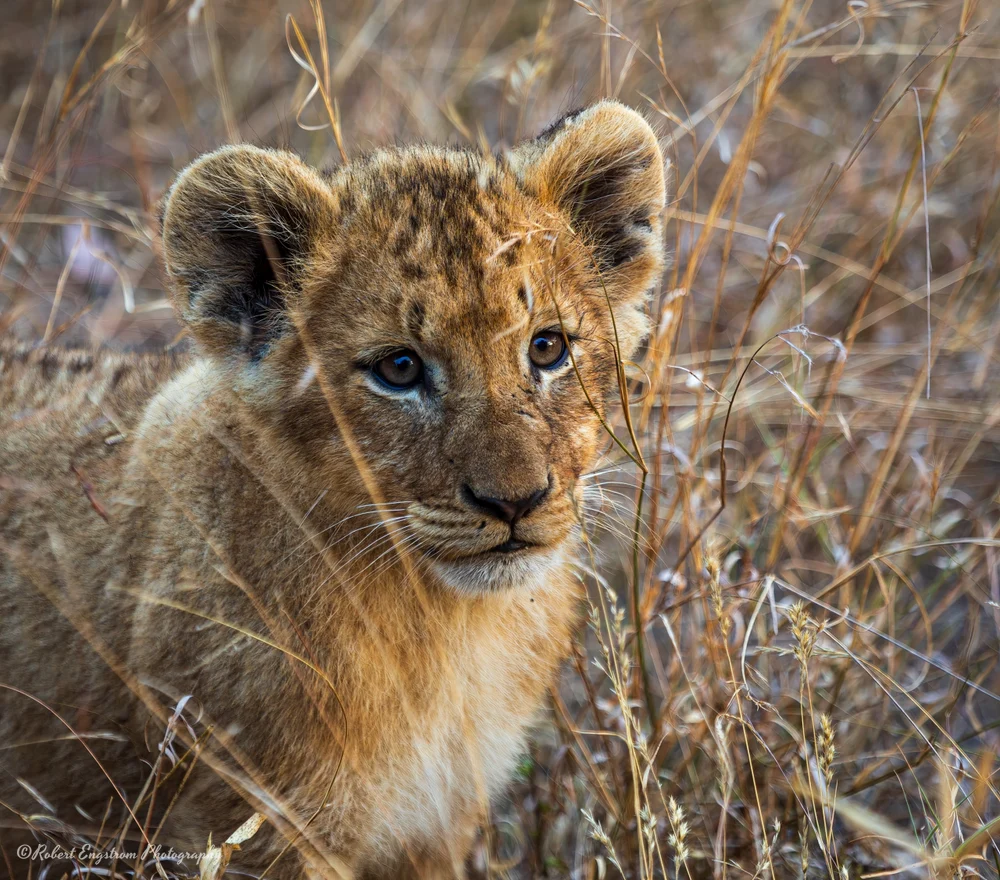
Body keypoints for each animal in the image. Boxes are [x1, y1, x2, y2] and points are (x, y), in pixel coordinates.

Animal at [0, 101, 665, 878]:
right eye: (399, 369)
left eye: (549, 347)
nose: (515, 501)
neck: (443, 634)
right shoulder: (253, 824)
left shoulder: (435, 828)